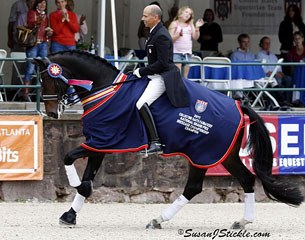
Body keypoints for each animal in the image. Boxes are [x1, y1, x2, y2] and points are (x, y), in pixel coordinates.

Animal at [33, 50, 302, 229]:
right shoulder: (99, 143)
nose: (51, 113)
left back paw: (158, 219)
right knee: (246, 179)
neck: (105, 89)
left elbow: (69, 159)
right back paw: (243, 221)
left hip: (202, 153)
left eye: (48, 79)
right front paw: (70, 215)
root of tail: (239, 105)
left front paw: (74, 187)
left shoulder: (101, 141)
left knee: (194, 188)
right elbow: (85, 178)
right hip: (222, 155)